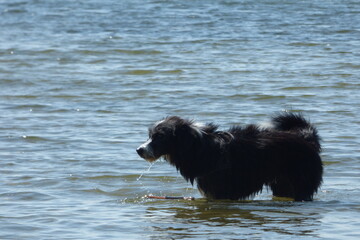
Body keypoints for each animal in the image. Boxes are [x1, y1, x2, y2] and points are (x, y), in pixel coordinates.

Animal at [137, 112, 324, 201]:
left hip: (301, 183)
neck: (199, 148)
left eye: (160, 136)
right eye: (150, 135)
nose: (139, 150)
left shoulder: (220, 191)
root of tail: (306, 138)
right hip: (282, 185)